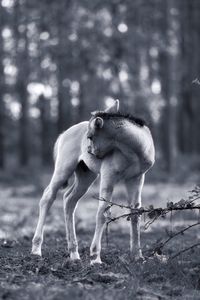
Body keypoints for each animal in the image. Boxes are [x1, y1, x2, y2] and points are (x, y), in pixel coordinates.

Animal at [31, 100, 155, 262]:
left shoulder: (136, 178)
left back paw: (74, 254)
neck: (134, 152)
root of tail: (64, 134)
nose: (90, 152)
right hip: (64, 169)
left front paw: (137, 256)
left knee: (69, 200)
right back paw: (36, 250)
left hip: (86, 175)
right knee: (48, 197)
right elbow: (102, 212)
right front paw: (95, 257)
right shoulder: (109, 175)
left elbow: (135, 213)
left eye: (90, 136)